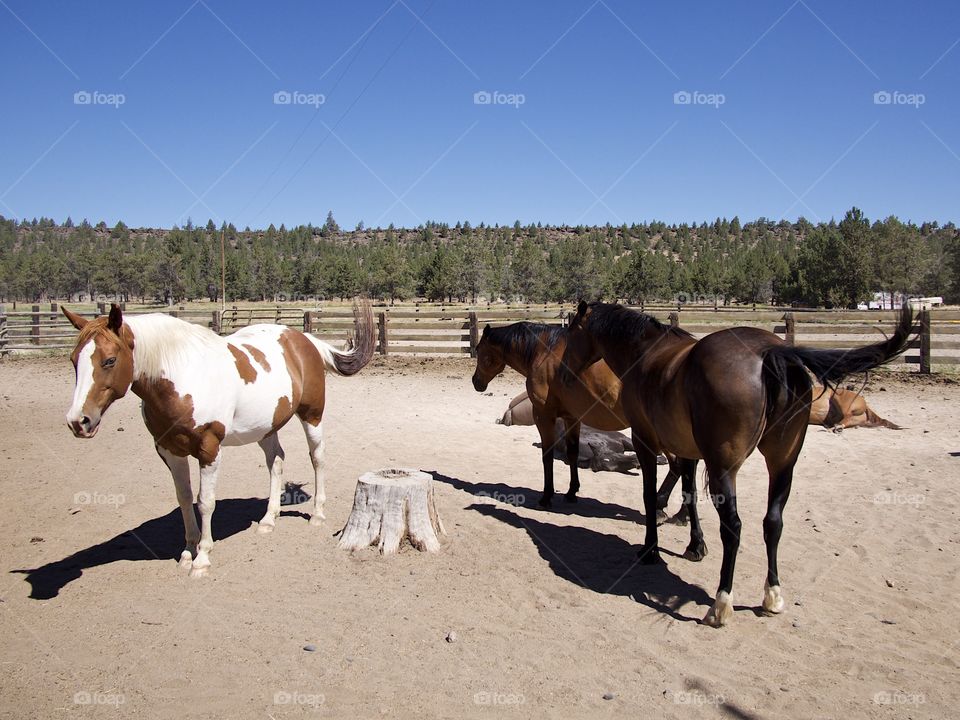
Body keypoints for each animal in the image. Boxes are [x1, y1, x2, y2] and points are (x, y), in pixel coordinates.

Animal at [62, 300, 376, 576]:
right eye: (73, 359)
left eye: (109, 360)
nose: (79, 421)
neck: (182, 376)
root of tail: (302, 338)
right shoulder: (169, 451)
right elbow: (184, 498)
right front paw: (187, 552)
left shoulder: (209, 449)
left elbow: (205, 502)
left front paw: (202, 558)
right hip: (266, 427)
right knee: (276, 461)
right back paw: (268, 519)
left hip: (311, 415)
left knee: (317, 458)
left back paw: (318, 515)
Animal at [470, 320, 704, 564]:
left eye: (479, 350)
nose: (476, 382)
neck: (543, 350)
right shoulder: (572, 417)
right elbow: (572, 453)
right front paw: (572, 492)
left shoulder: (544, 416)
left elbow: (547, 457)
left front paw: (546, 497)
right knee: (681, 469)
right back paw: (675, 513)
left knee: (680, 467)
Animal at [568, 300, 912, 628]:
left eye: (571, 330)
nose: (567, 368)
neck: (645, 353)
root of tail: (772, 352)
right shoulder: (688, 449)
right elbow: (690, 494)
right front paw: (696, 546)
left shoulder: (644, 442)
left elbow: (650, 496)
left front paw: (650, 549)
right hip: (782, 465)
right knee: (773, 522)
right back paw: (772, 596)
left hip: (724, 470)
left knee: (733, 528)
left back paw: (721, 605)